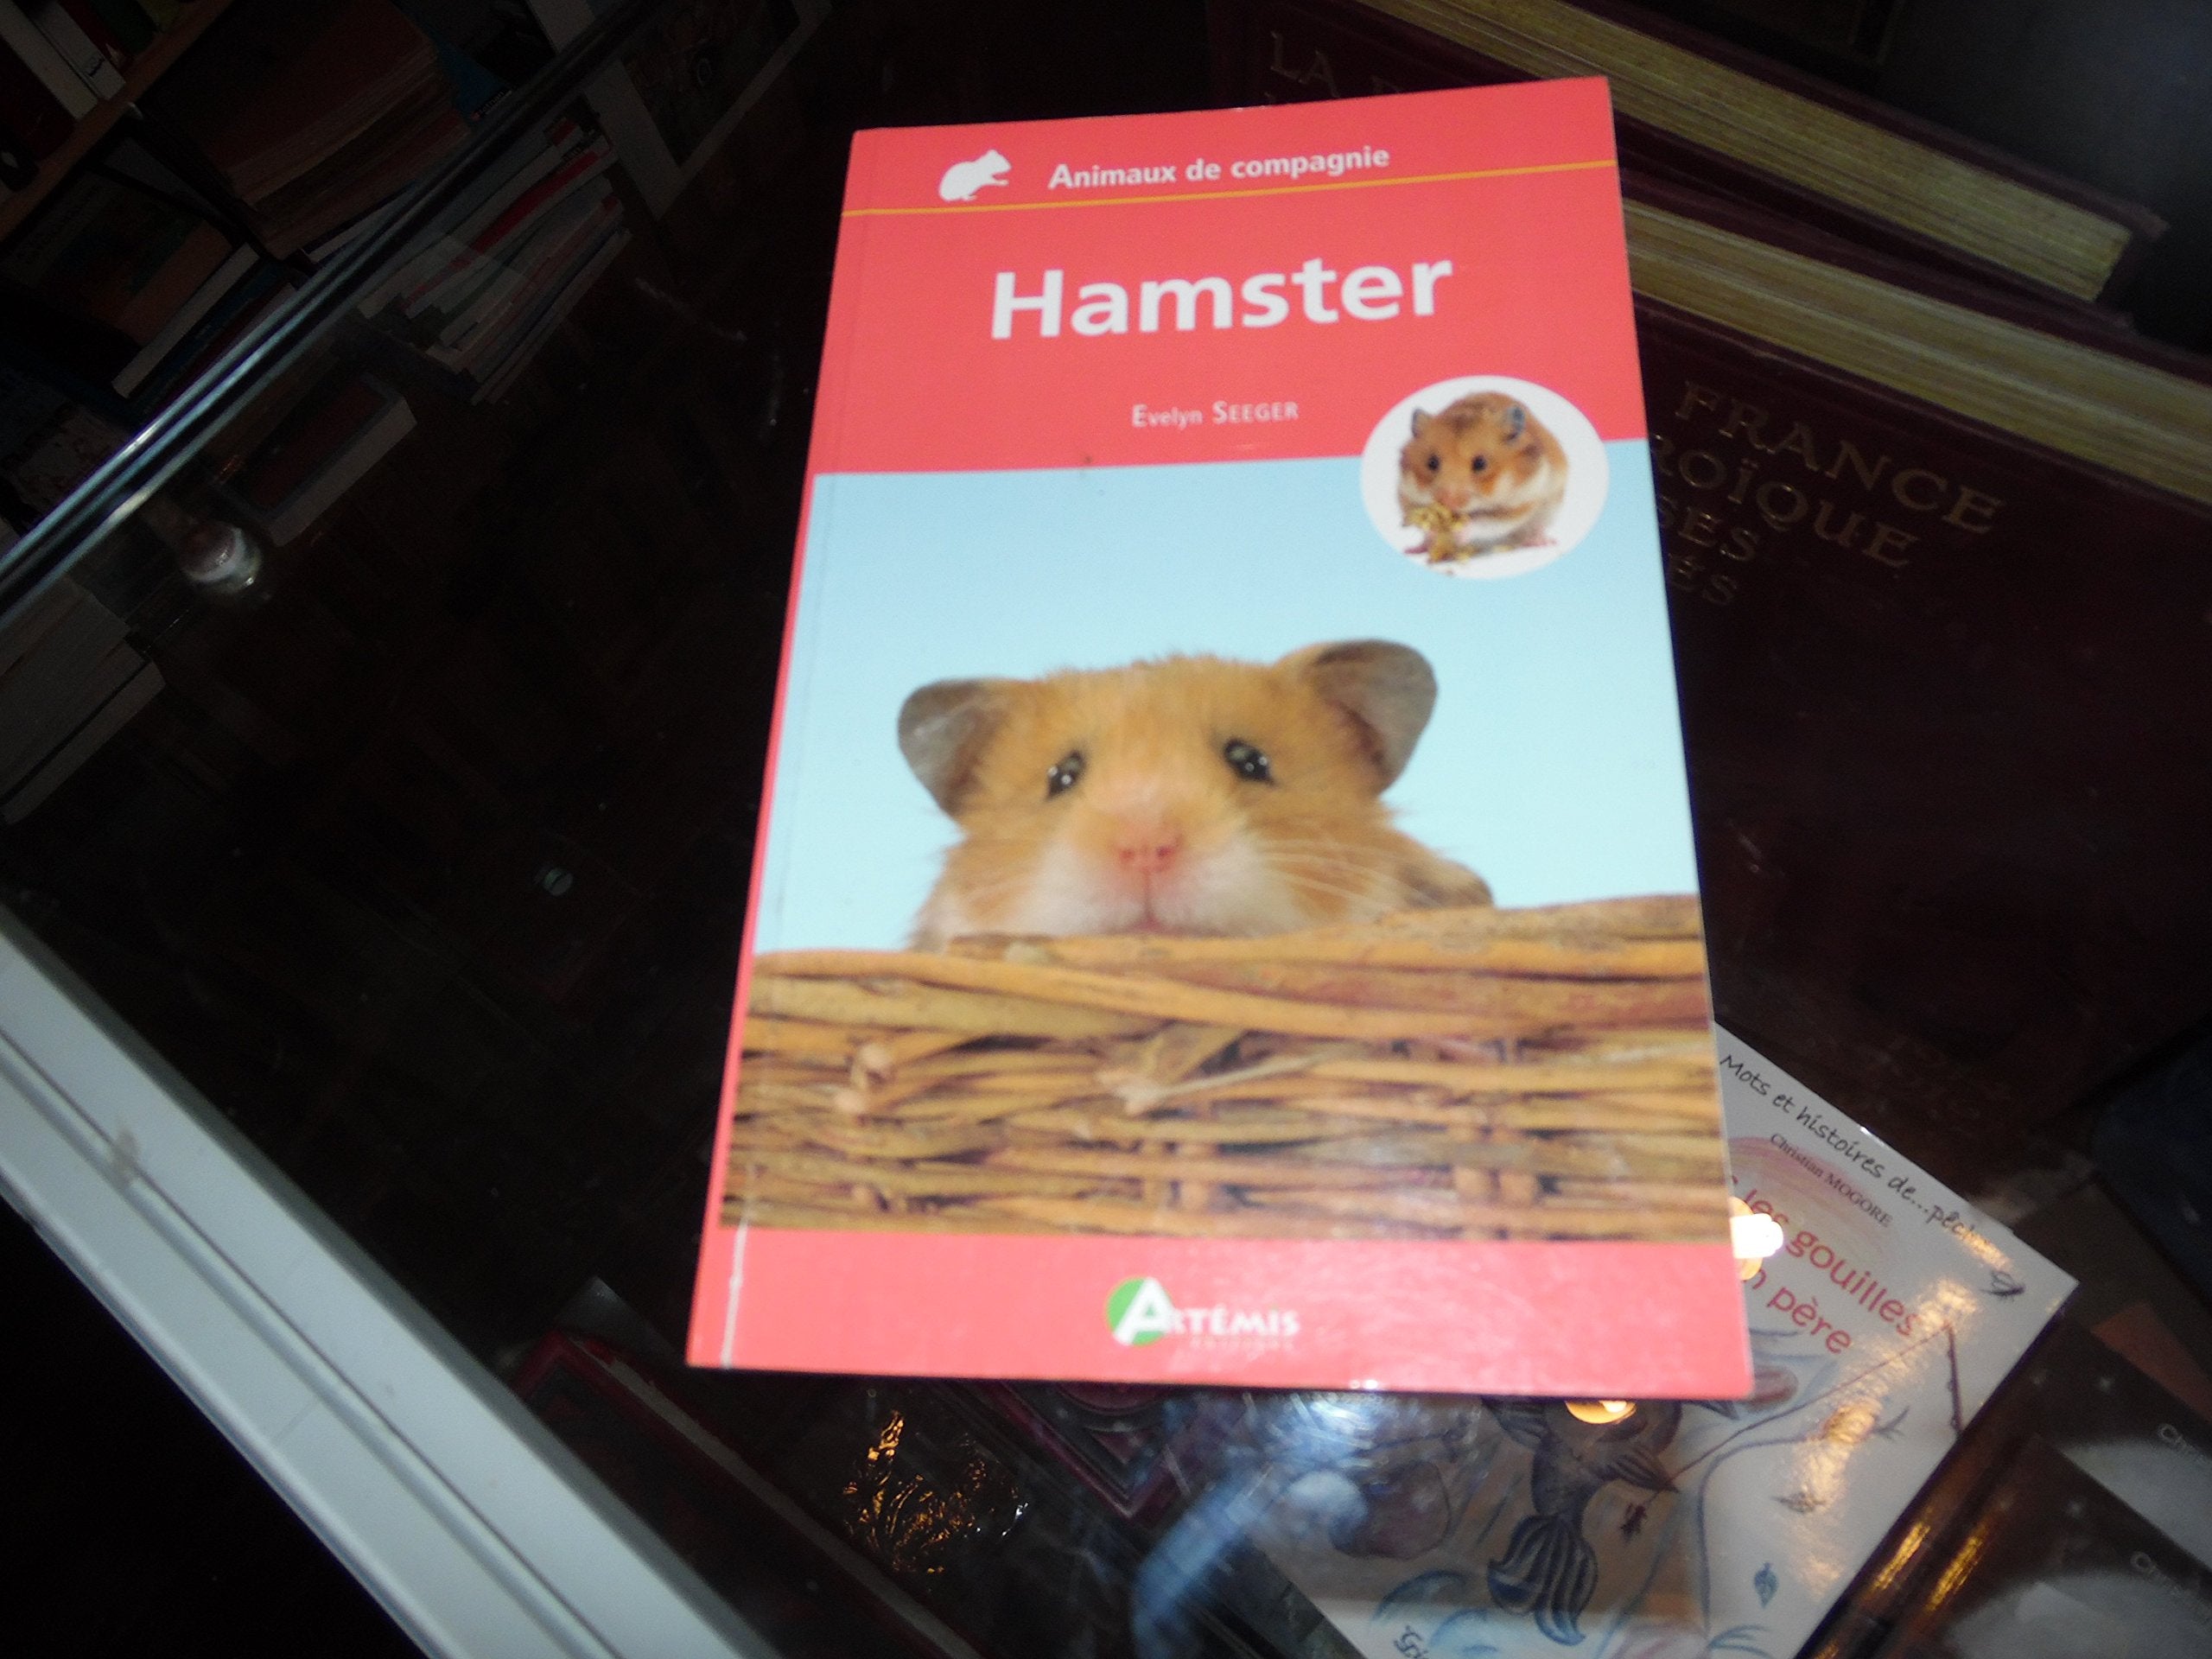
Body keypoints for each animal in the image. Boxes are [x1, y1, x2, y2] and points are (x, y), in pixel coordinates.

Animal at [1397, 392, 1569, 562]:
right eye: (1431, 462)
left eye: (1481, 463)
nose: (1448, 502)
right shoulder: (1407, 496)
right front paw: (1433, 530)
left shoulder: (1518, 504)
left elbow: (1485, 523)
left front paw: (1459, 532)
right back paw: (1414, 549)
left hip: (1550, 506)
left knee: (1538, 527)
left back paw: (1540, 542)